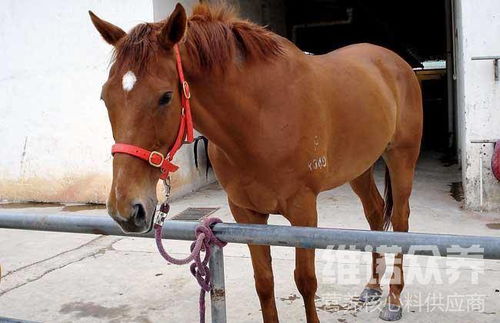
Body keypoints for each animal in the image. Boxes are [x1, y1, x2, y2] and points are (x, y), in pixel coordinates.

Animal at [90, 1, 422, 322]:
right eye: (105, 97)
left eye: (166, 96)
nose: (125, 210)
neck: (262, 118)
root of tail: (395, 62)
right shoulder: (245, 213)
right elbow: (264, 283)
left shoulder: (303, 211)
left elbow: (306, 282)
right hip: (359, 168)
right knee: (375, 212)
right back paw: (372, 287)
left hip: (401, 157)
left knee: (401, 220)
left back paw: (393, 301)